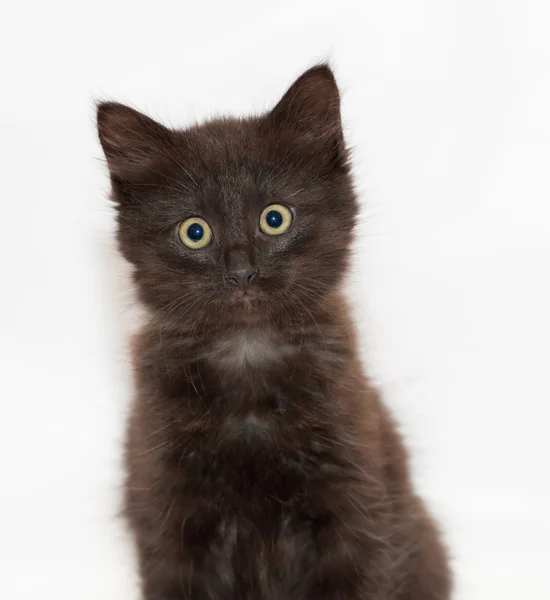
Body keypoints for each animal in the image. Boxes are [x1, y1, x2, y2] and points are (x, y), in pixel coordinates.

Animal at [98, 67, 452, 600]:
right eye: (194, 232)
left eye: (274, 218)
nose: (242, 272)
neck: (249, 351)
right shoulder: (168, 513)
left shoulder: (355, 507)